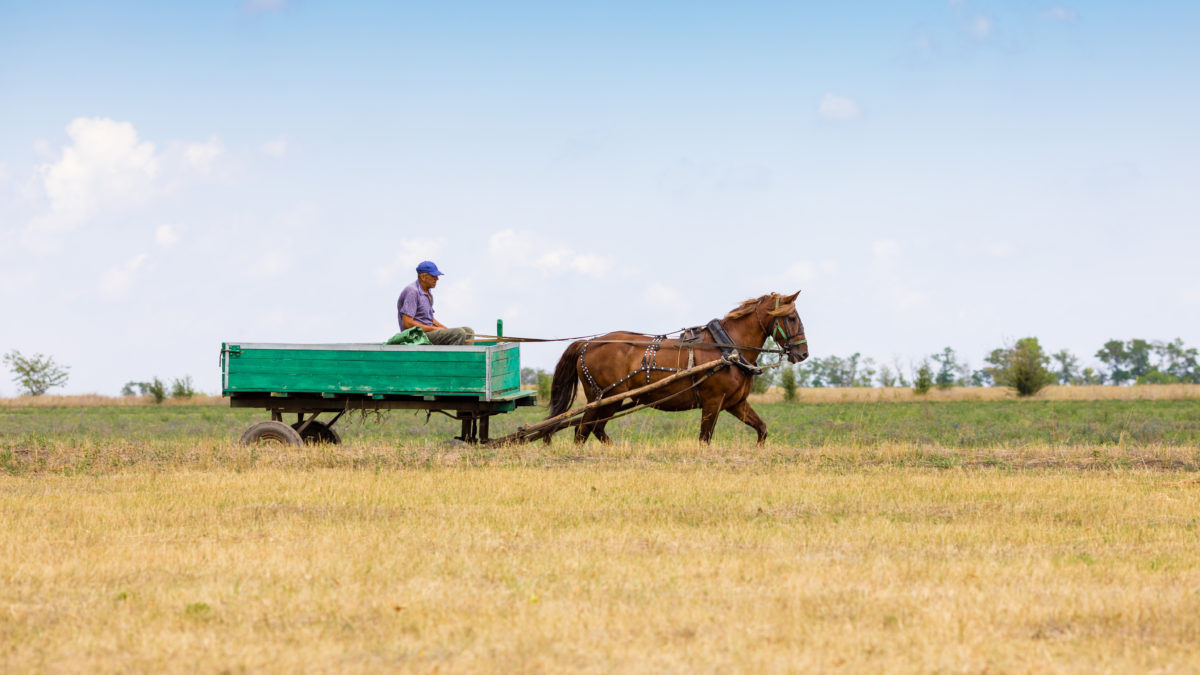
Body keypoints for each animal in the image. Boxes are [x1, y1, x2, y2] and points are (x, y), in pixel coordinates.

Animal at [549, 290, 811, 444]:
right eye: (791, 318)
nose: (803, 353)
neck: (728, 348)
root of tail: (588, 344)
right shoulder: (713, 402)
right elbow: (705, 439)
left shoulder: (735, 403)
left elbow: (762, 429)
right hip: (604, 398)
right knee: (582, 431)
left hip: (610, 401)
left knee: (593, 430)